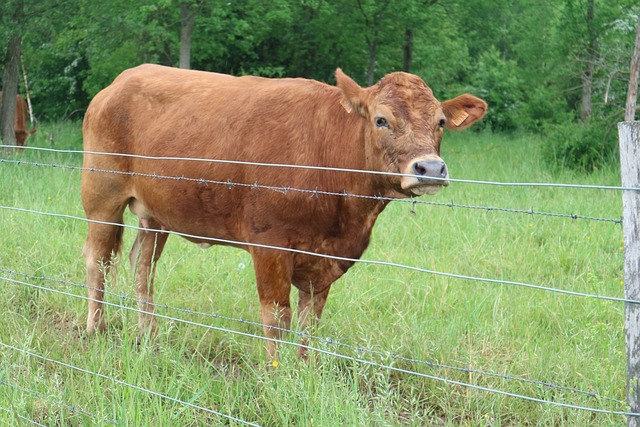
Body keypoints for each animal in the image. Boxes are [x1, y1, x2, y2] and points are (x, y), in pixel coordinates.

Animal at [80, 63, 484, 360]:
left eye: (440, 122)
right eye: (381, 119)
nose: (430, 168)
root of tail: (120, 81)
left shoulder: (325, 259)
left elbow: (309, 322)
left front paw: (304, 368)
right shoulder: (269, 245)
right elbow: (277, 317)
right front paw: (277, 373)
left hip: (156, 213)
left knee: (142, 266)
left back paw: (149, 336)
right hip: (101, 197)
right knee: (98, 261)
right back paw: (94, 330)